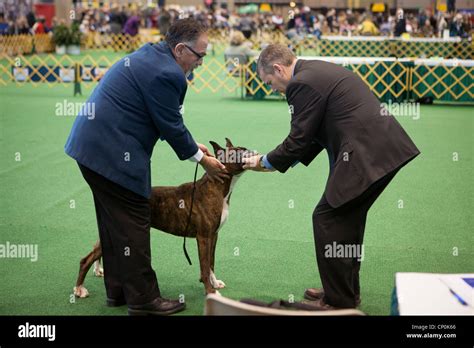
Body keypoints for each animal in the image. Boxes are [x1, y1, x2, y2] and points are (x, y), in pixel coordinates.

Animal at [73, 139, 252, 300]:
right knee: (85, 260)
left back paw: (97, 271)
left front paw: (215, 283)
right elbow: (204, 266)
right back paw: (79, 289)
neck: (217, 186)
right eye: (239, 152)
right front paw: (210, 291)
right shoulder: (203, 238)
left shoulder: (213, 235)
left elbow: (211, 263)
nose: (251, 151)